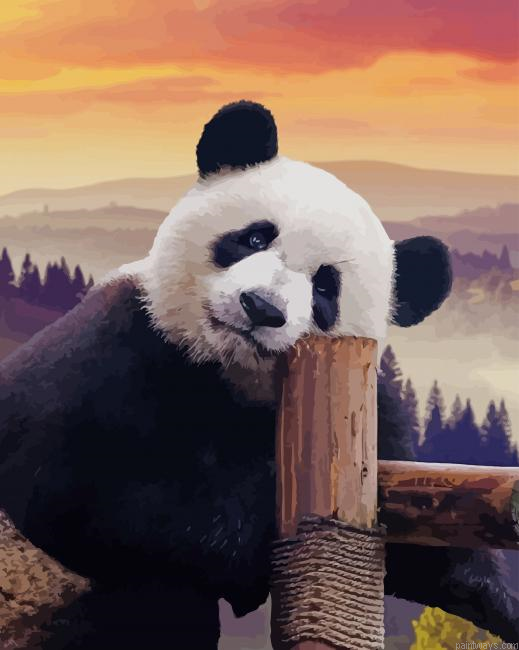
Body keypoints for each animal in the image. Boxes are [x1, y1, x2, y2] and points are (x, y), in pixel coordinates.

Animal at [0, 101, 517, 649]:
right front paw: (251, 537)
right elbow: (72, 486)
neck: (227, 371)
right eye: (253, 237)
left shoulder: (372, 414)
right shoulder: (110, 351)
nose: (261, 307)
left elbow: (428, 550)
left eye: (325, 287)